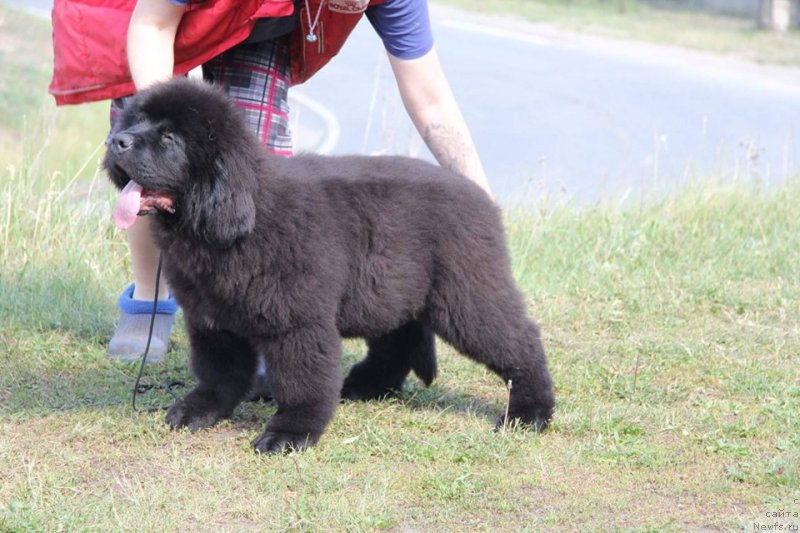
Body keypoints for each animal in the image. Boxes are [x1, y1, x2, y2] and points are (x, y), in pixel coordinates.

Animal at [103, 79, 552, 454]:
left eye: (170, 137)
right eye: (136, 121)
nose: (115, 141)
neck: (241, 217)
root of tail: (480, 195)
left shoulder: (296, 321)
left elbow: (302, 380)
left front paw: (290, 433)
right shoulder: (211, 319)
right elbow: (219, 372)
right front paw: (200, 409)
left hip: (466, 295)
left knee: (520, 343)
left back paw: (529, 413)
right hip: (386, 287)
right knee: (397, 340)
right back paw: (365, 385)